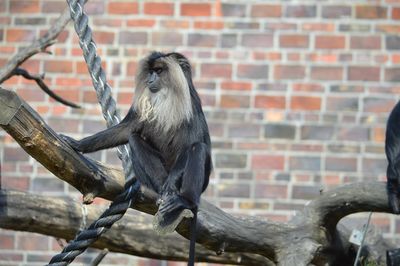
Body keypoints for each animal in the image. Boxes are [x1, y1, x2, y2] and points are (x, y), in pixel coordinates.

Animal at [61, 51, 212, 264]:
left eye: (159, 71)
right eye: (150, 72)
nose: (150, 79)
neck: (167, 96)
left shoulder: (191, 104)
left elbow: (193, 142)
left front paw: (174, 183)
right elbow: (127, 130)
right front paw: (78, 144)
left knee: (197, 149)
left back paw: (185, 200)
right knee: (134, 139)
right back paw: (164, 193)